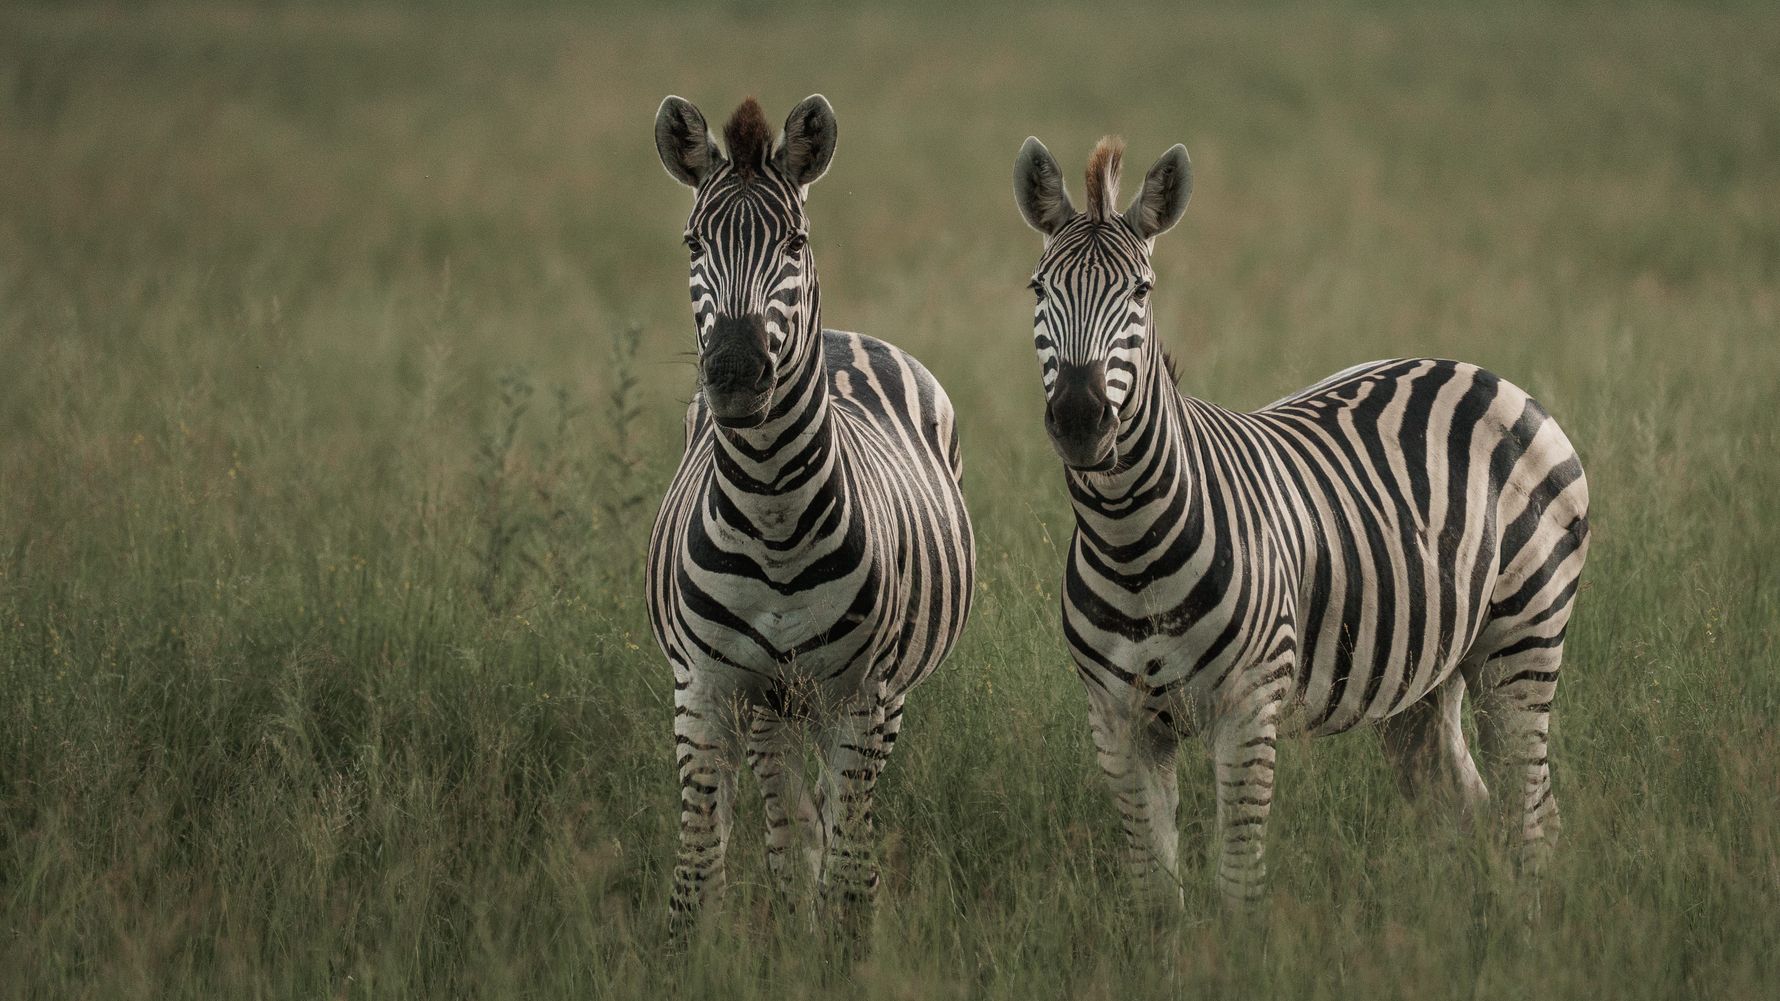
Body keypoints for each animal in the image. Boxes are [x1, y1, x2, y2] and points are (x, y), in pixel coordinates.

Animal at [648, 94, 975, 932]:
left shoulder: (860, 693)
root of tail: (842, 333)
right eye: (693, 241)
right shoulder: (703, 687)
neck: (773, 516)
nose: (735, 371)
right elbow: (698, 865)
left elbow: (851, 865)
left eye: (795, 241)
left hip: (876, 695)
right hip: (767, 700)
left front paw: (842, 941)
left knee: (830, 816)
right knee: (783, 815)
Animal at [1012, 135, 1590, 910]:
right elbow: (1156, 896)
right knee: (1464, 806)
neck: (1131, 548)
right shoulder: (1117, 722)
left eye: (1141, 292)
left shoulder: (1247, 710)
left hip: (1522, 638)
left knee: (1534, 817)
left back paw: (1527, 923)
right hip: (1425, 679)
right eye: (1038, 290)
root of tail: (1485, 372)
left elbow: (1238, 883)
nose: (1080, 418)